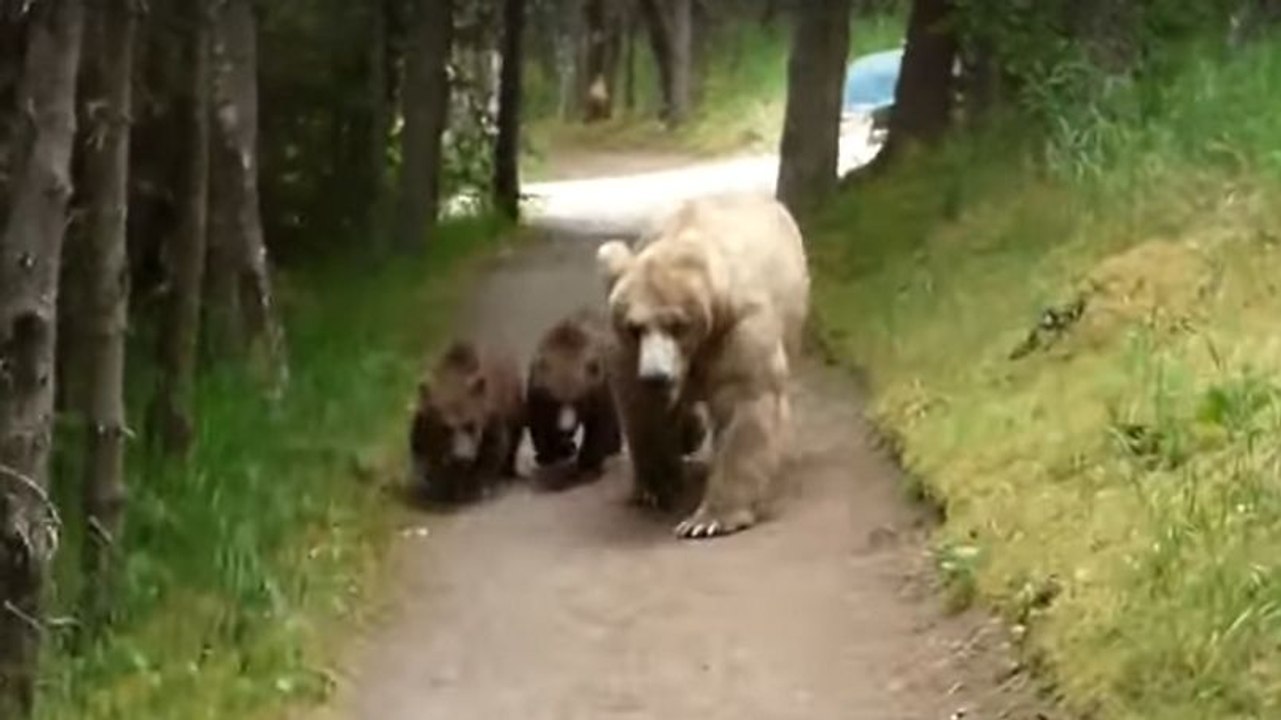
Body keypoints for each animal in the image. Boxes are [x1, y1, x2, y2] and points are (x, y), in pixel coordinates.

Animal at [408, 340, 525, 505]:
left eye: (470, 425)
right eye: (445, 427)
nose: (461, 457)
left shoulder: (491, 416)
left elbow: (492, 450)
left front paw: (476, 487)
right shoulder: (423, 420)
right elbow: (422, 450)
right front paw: (440, 484)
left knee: (514, 438)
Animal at [524, 308, 624, 489]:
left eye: (578, 399)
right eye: (555, 400)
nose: (566, 427)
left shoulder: (600, 389)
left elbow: (599, 426)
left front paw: (588, 467)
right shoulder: (537, 392)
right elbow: (540, 423)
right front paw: (548, 454)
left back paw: (612, 447)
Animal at [596, 192, 810, 539]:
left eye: (677, 324)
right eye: (634, 327)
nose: (656, 376)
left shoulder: (738, 329)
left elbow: (744, 402)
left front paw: (706, 521)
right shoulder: (630, 353)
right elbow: (642, 409)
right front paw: (656, 488)